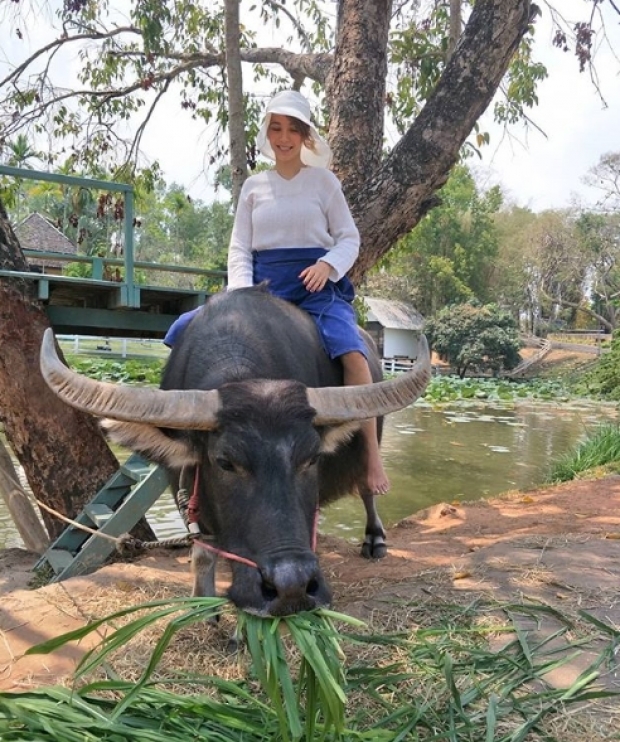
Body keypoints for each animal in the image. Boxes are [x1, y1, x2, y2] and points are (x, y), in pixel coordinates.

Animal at [40, 284, 432, 616]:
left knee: (366, 486)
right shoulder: (185, 483)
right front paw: (204, 608)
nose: (292, 588)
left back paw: (374, 540)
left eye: (312, 458)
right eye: (225, 463)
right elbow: (201, 552)